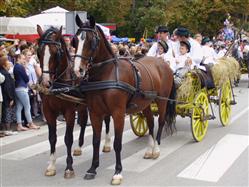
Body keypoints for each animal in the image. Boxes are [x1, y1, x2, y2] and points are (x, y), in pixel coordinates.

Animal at [36, 24, 111, 178]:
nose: (45, 83)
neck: (59, 83)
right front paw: (51, 165)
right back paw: (79, 147)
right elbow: (52, 138)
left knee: (106, 120)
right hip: (82, 106)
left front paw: (69, 167)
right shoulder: (48, 112)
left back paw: (106, 144)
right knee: (83, 122)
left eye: (55, 52)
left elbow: (68, 138)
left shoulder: (69, 112)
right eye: (39, 52)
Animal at [74, 15, 177, 185]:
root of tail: (162, 63)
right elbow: (95, 141)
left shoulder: (118, 113)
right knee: (150, 123)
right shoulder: (95, 113)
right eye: (75, 40)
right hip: (146, 103)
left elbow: (117, 143)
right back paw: (149, 150)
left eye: (91, 41)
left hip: (161, 101)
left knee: (161, 122)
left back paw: (156, 149)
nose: (78, 70)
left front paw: (117, 172)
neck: (106, 74)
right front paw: (93, 168)